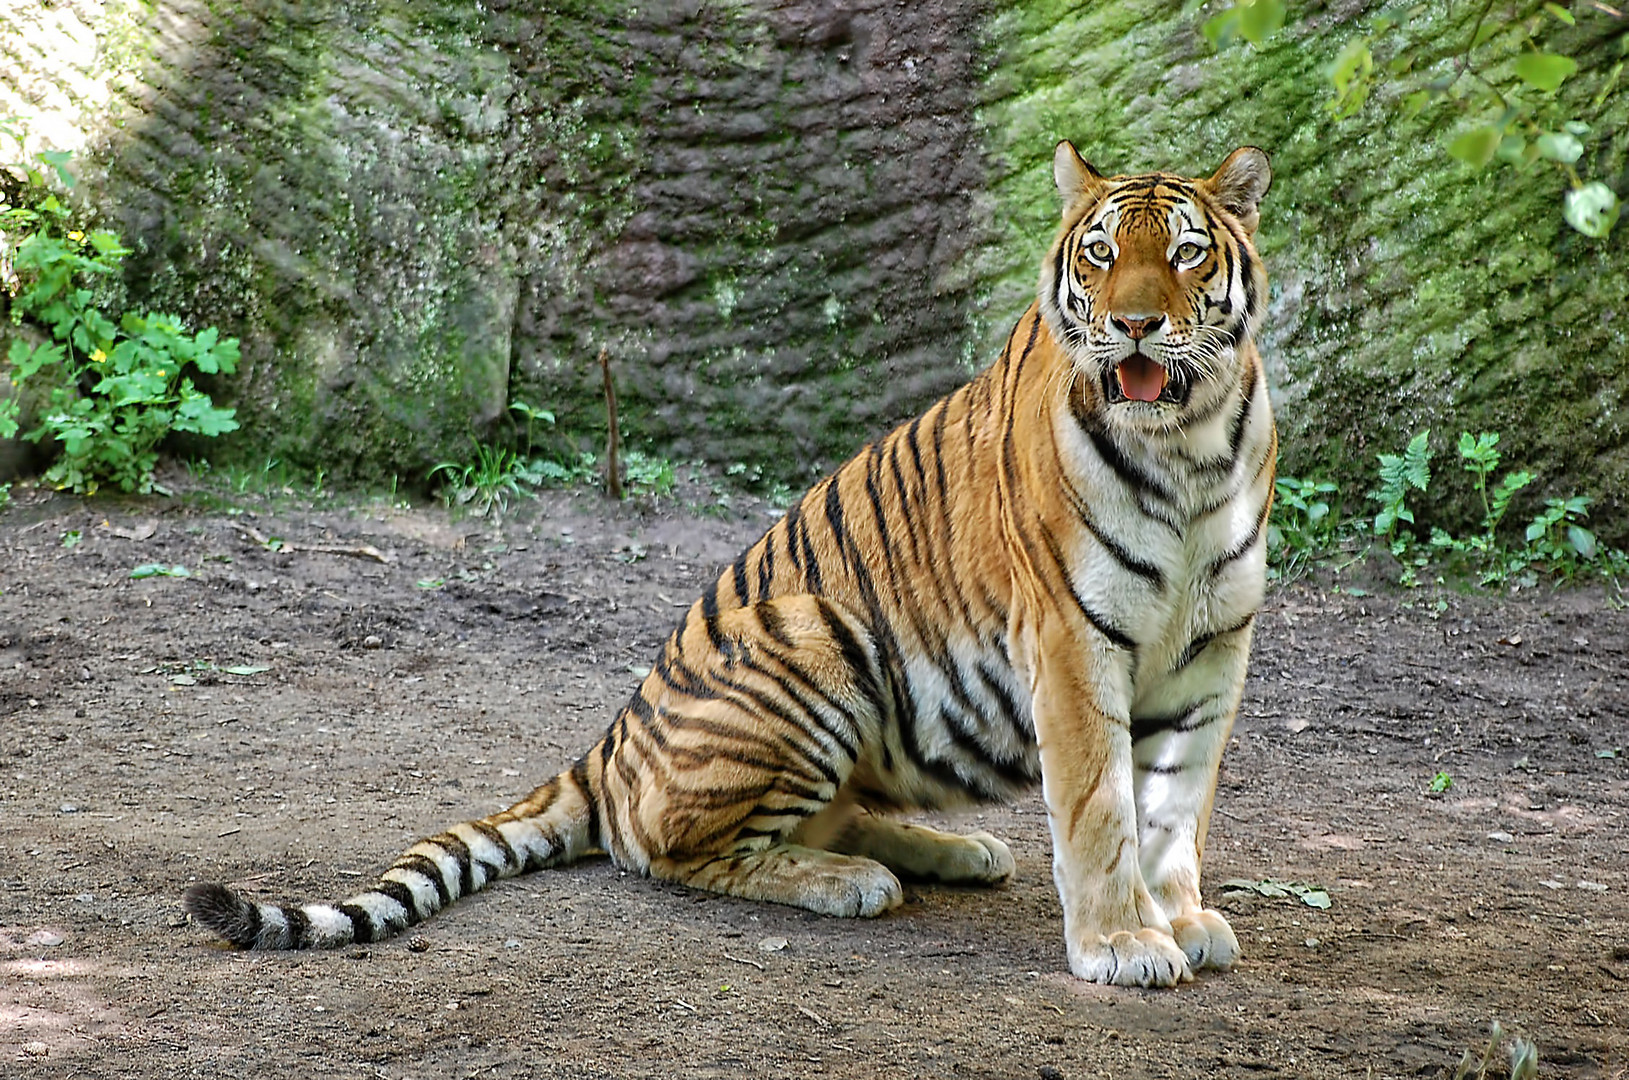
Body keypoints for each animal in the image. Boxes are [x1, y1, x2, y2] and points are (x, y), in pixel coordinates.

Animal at [178, 141, 1270, 990]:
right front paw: (1122, 945)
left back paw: (958, 851)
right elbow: (1098, 808)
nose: (1134, 325)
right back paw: (856, 885)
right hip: (815, 632)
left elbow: (1176, 808)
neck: (1187, 450)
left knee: (824, 819)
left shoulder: (1214, 650)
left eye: (1183, 253)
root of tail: (608, 741)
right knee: (675, 851)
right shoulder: (1072, 641)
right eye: (1100, 255)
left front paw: (1181, 923)